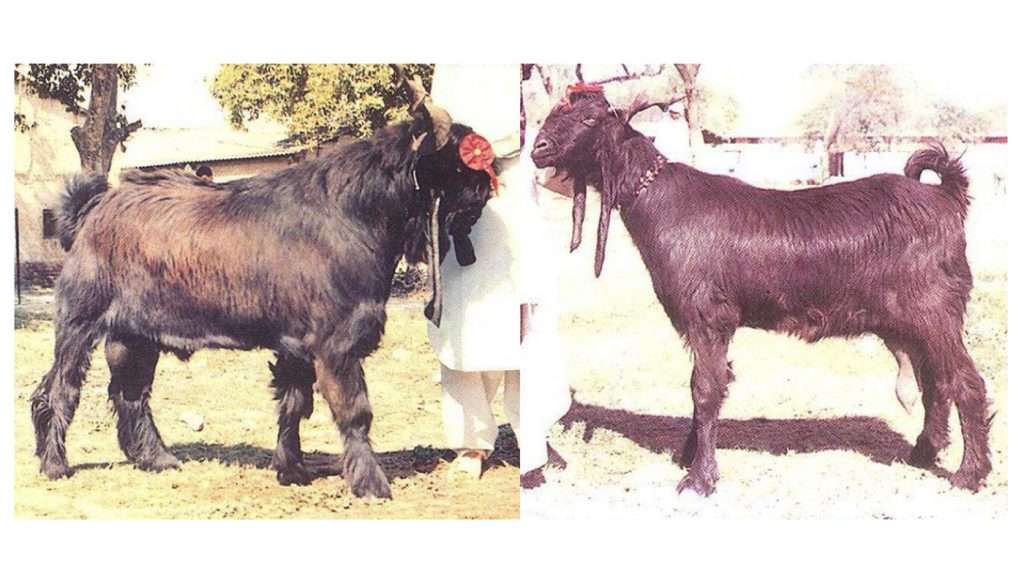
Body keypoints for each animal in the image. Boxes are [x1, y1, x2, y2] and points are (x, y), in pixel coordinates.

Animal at [30, 68, 496, 499]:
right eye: (461, 159)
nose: (488, 184)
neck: (354, 210)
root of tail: (92, 207)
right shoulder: (336, 344)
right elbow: (354, 412)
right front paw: (371, 483)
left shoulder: (295, 346)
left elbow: (293, 406)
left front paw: (293, 470)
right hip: (79, 323)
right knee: (58, 391)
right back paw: (55, 464)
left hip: (134, 337)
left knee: (131, 394)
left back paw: (156, 458)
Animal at [531, 85, 990, 495]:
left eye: (590, 119)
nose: (539, 147)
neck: (658, 198)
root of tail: (945, 196)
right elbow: (707, 385)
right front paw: (689, 457)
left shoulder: (708, 316)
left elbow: (706, 389)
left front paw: (699, 479)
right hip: (910, 323)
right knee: (937, 382)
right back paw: (923, 453)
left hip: (934, 311)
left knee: (966, 382)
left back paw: (969, 474)